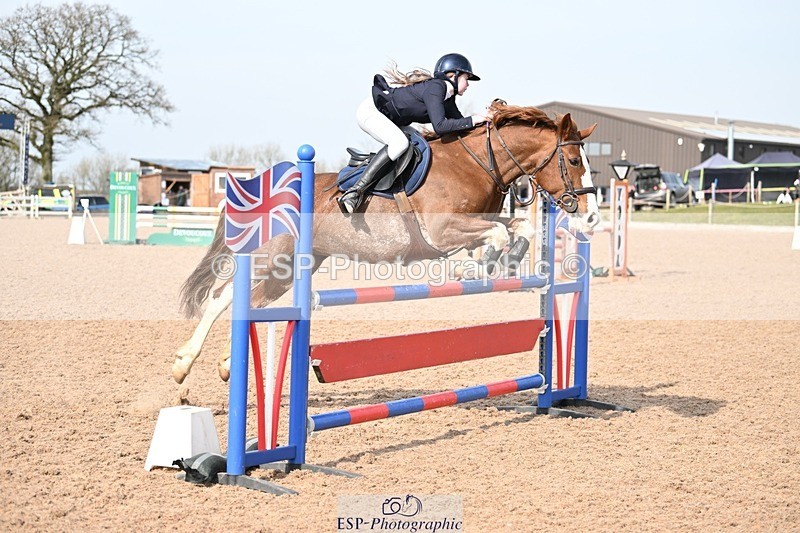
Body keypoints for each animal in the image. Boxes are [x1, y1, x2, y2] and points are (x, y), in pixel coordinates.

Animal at [171, 101, 599, 384]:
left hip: (289, 268)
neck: (478, 162)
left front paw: (505, 261)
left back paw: (226, 365)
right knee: (223, 297)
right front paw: (478, 266)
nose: (592, 217)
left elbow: (520, 228)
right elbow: (492, 235)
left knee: (254, 303)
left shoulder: (479, 220)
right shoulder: (443, 230)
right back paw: (182, 365)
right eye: (574, 162)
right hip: (269, 257)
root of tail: (260, 188)